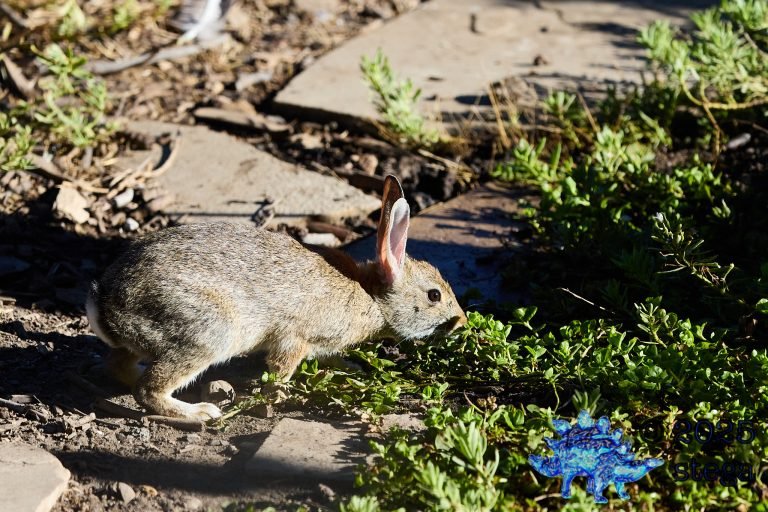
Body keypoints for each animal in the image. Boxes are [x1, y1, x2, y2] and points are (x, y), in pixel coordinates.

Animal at [86, 175, 467, 420]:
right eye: (434, 295)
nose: (461, 321)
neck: (370, 295)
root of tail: (105, 304)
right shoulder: (295, 338)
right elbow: (281, 369)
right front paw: (281, 397)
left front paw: (352, 367)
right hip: (208, 331)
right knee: (149, 390)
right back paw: (200, 413)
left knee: (117, 365)